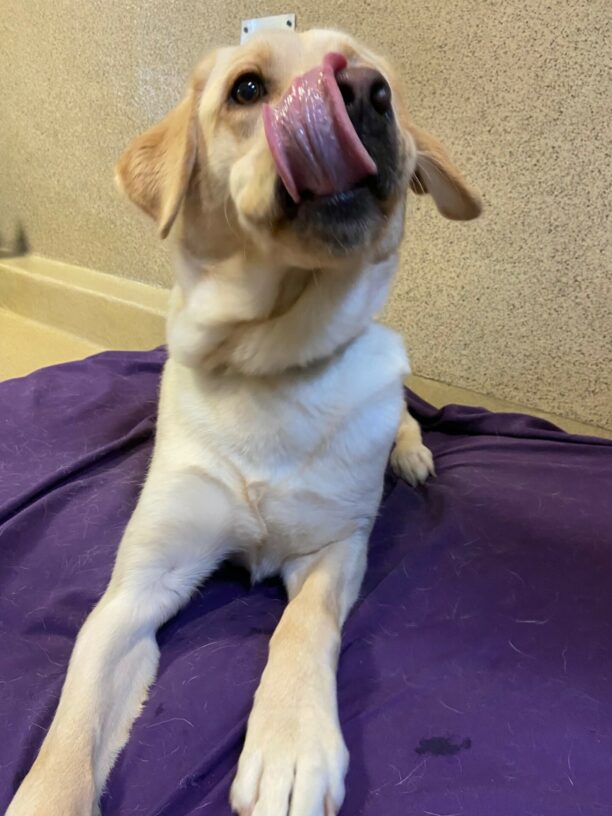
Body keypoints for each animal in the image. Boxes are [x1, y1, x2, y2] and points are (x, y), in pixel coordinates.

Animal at [7, 27, 480, 816]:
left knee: (405, 419)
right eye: (247, 89)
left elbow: (300, 626)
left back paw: (410, 456)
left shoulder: (336, 545)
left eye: (377, 75)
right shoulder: (135, 590)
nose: (362, 92)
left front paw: (290, 745)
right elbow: (66, 738)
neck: (269, 359)